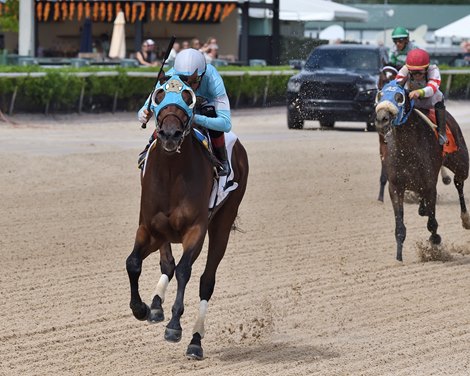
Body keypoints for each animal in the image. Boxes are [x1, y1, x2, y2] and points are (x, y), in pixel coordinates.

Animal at [125, 75, 250, 360]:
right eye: (158, 95)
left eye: (187, 97)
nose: (170, 134)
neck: (172, 173)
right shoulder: (149, 228)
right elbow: (134, 263)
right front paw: (142, 308)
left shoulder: (196, 230)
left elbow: (184, 271)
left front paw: (174, 326)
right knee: (167, 263)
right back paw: (156, 305)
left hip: (223, 222)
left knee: (206, 281)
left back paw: (195, 339)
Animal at [374, 79, 470, 262]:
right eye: (380, 95)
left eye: (399, 97)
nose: (382, 119)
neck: (407, 149)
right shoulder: (395, 186)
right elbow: (399, 226)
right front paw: (399, 258)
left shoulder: (430, 185)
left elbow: (432, 223)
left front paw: (435, 241)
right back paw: (422, 208)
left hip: (462, 163)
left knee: (458, 183)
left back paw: (465, 219)